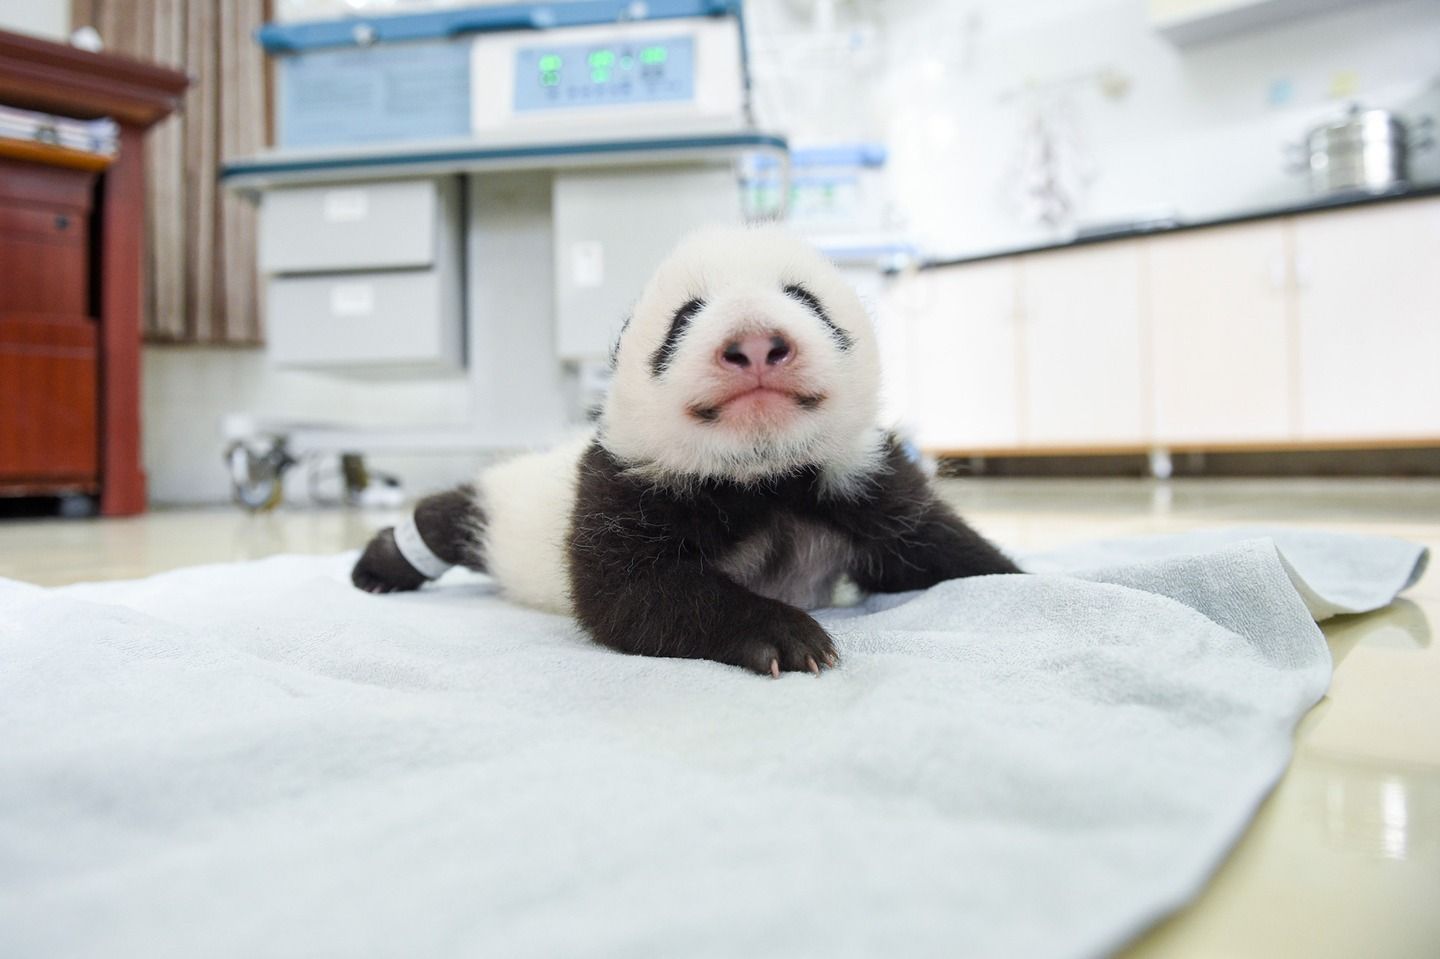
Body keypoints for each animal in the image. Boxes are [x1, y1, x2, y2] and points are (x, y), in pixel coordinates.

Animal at [351, 225, 1020, 676]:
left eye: (805, 300)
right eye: (684, 318)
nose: (756, 343)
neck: (763, 475)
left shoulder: (859, 477)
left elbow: (938, 546)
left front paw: (1023, 580)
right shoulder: (622, 483)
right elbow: (630, 591)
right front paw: (786, 636)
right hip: (504, 503)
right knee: (448, 515)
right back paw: (381, 564)